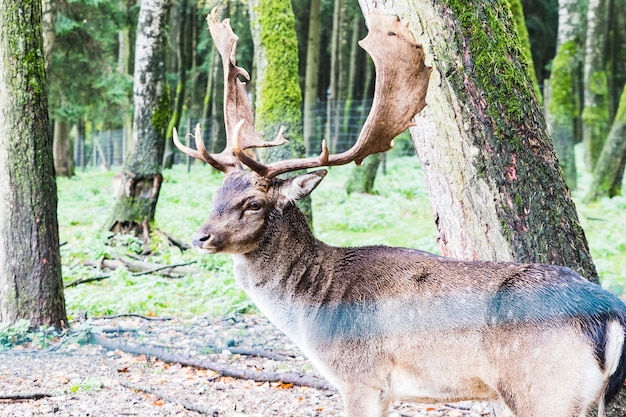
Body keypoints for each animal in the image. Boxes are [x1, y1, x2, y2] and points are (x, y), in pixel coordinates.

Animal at [173, 8, 624, 416]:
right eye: (217, 193)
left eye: (253, 203)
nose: (200, 236)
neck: (312, 309)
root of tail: (611, 314)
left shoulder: (360, 376)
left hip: (542, 388)